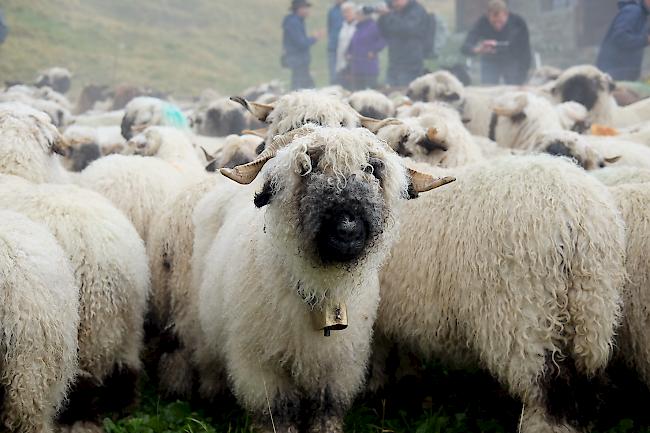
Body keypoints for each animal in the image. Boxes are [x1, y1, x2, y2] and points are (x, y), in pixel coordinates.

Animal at [189, 126, 450, 430]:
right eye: (308, 167)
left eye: (373, 169)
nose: (347, 227)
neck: (321, 289)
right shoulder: (262, 369)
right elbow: (278, 415)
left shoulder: (336, 371)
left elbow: (327, 412)